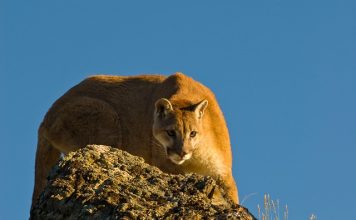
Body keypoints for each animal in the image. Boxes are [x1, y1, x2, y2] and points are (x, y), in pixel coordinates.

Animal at [32, 73, 239, 205]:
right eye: (170, 132)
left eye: (193, 133)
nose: (182, 152)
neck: (194, 159)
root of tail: (45, 118)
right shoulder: (165, 164)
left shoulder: (223, 172)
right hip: (107, 118)